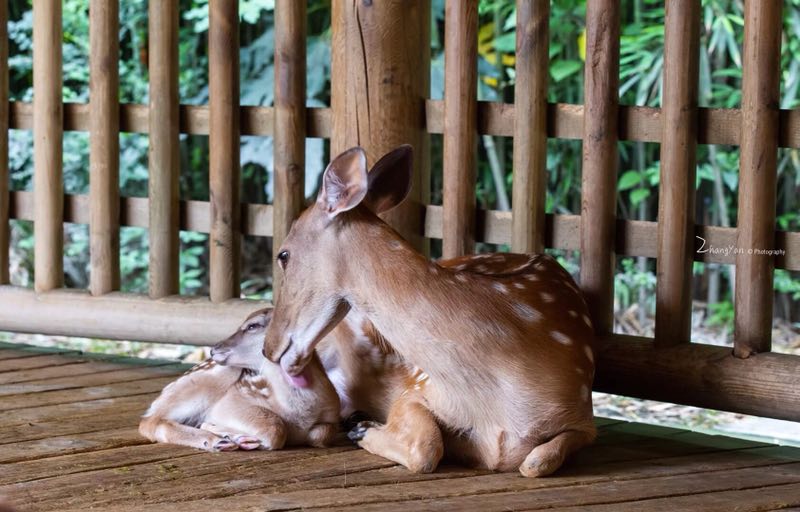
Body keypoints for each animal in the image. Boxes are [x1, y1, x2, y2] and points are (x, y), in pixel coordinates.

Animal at [266, 145, 596, 476]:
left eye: (283, 254)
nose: (268, 348)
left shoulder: (584, 415)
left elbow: (536, 460)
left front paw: (363, 426)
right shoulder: (417, 386)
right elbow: (427, 445)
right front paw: (364, 426)